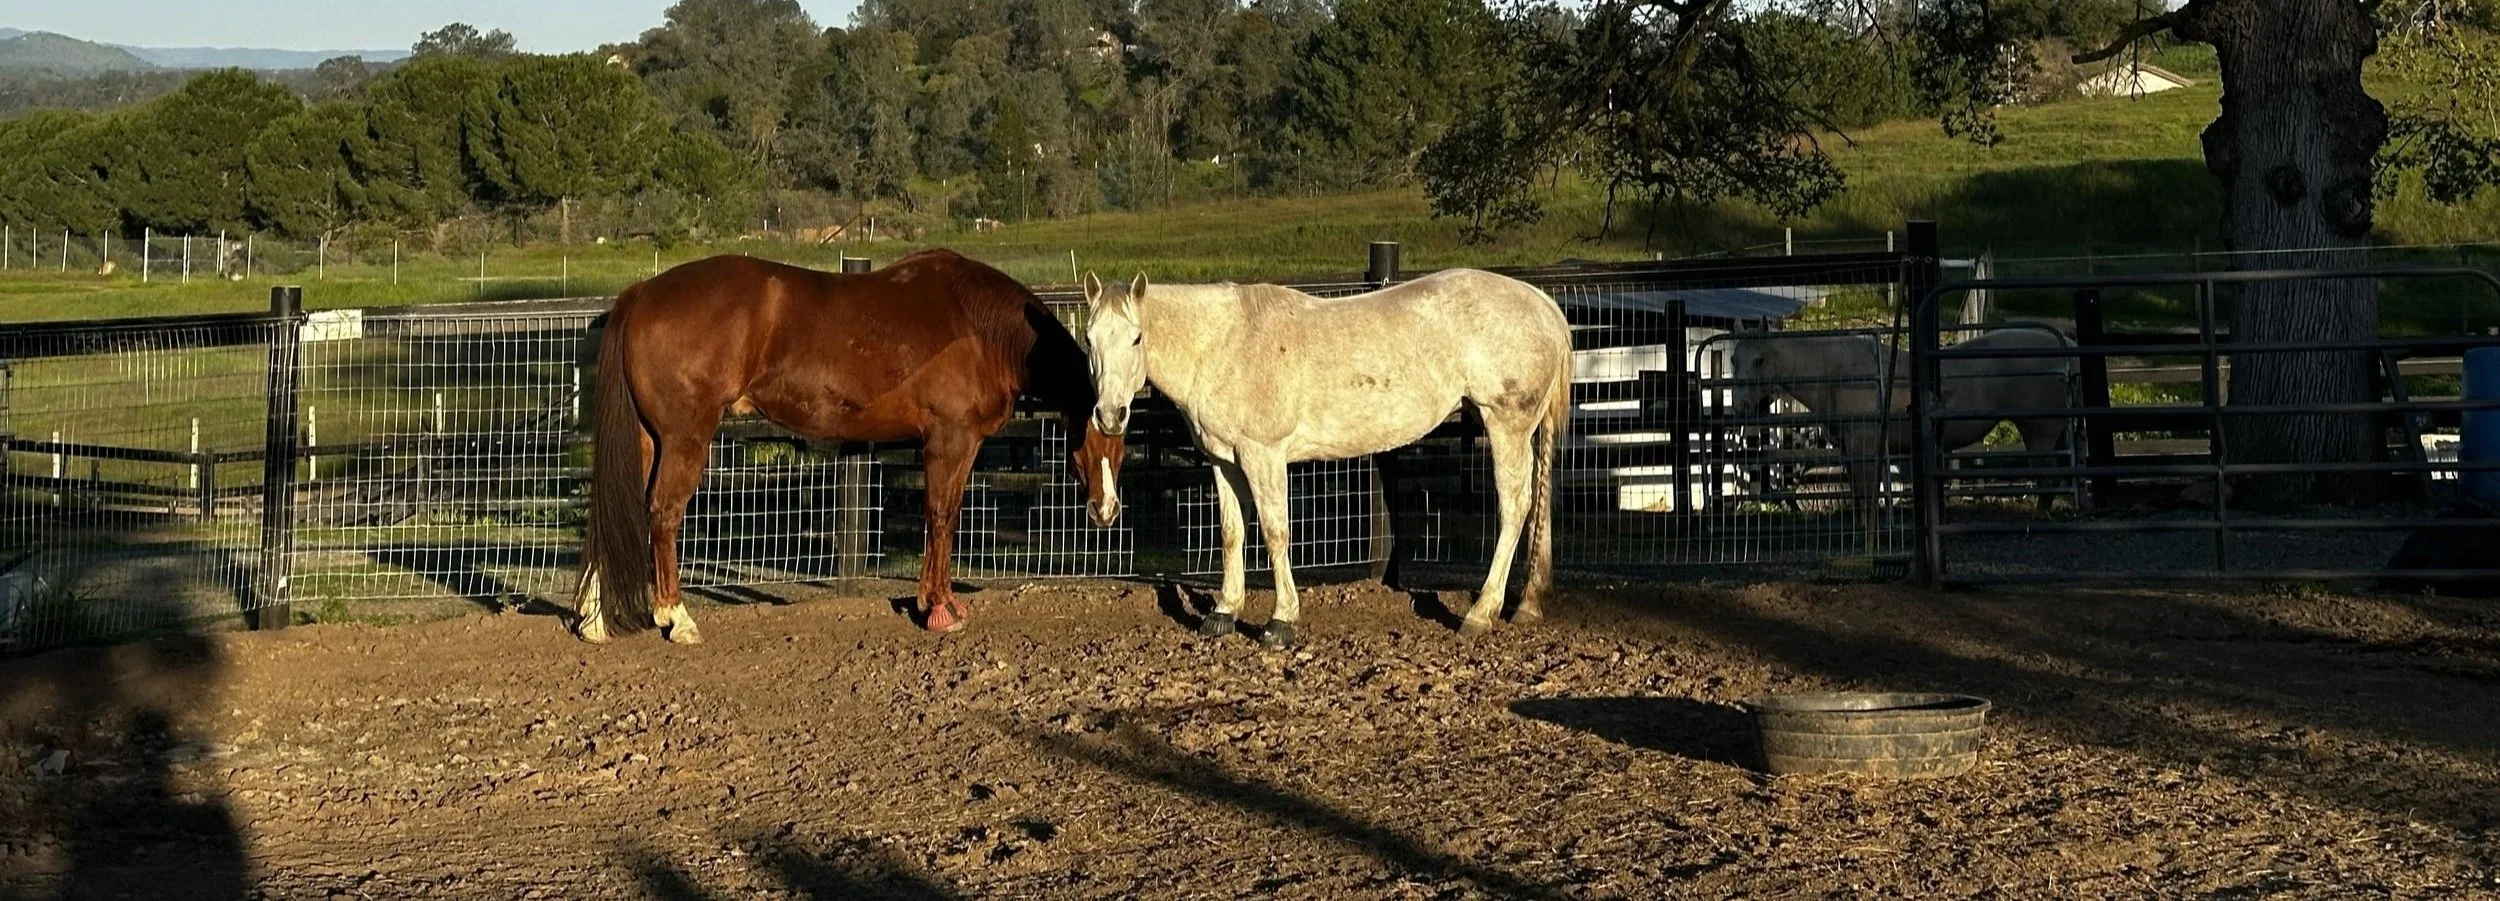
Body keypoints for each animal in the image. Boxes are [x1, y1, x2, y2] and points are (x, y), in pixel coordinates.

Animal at [573, 251, 1125, 644]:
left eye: (1121, 436)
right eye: (1097, 429)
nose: (1108, 510)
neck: (978, 326)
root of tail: (643, 293)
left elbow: (943, 516)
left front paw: (940, 601)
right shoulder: (950, 441)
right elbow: (941, 514)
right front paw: (938, 607)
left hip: (649, 439)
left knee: (622, 506)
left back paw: (593, 618)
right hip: (685, 439)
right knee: (663, 513)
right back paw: (677, 617)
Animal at [1080, 269, 1573, 649]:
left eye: (1137, 338)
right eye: (1089, 340)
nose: (1109, 415)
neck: (1224, 345)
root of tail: (1545, 306)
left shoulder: (1263, 456)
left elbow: (1275, 534)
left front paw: (1281, 621)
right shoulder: (1224, 461)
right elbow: (1232, 534)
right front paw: (1223, 612)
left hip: (1505, 425)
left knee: (1515, 507)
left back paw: (1481, 612)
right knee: (1538, 500)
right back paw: (1527, 604)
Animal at [1722, 328, 2077, 512]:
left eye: (1759, 360)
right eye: (1734, 359)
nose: (1740, 404)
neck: (1837, 375)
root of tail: (2067, 348)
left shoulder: (1865, 448)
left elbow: (1867, 494)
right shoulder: (1851, 451)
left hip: (2039, 432)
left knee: (2049, 479)